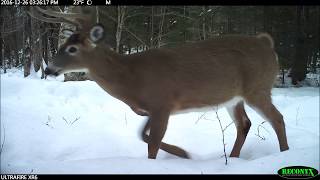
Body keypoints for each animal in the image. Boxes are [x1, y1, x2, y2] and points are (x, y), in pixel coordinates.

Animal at [29, 6, 290, 159]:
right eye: (64, 44)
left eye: (72, 49)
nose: (49, 69)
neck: (131, 77)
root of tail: (266, 43)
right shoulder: (152, 108)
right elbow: (142, 135)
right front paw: (182, 153)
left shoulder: (163, 103)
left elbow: (151, 143)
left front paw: (176, 154)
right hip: (233, 98)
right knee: (244, 124)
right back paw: (232, 159)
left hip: (258, 87)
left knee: (277, 118)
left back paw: (284, 155)